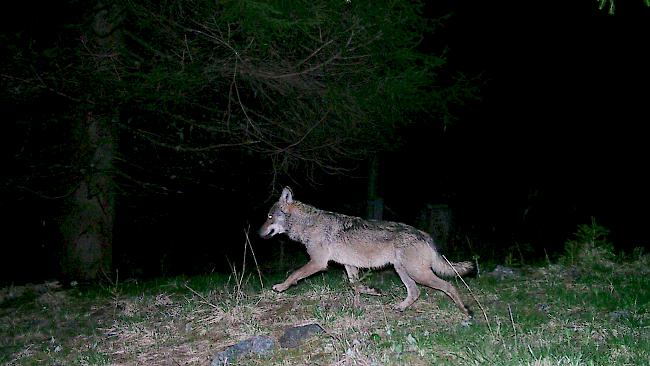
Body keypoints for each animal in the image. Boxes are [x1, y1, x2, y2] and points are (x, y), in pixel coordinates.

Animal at [256, 187, 470, 316]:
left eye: (269, 217)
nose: (258, 233)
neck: (309, 224)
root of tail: (425, 235)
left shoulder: (318, 263)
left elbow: (294, 274)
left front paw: (280, 287)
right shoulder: (349, 265)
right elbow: (355, 286)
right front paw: (371, 292)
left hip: (417, 273)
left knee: (449, 286)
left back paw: (466, 311)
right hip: (403, 271)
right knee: (415, 292)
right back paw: (399, 308)